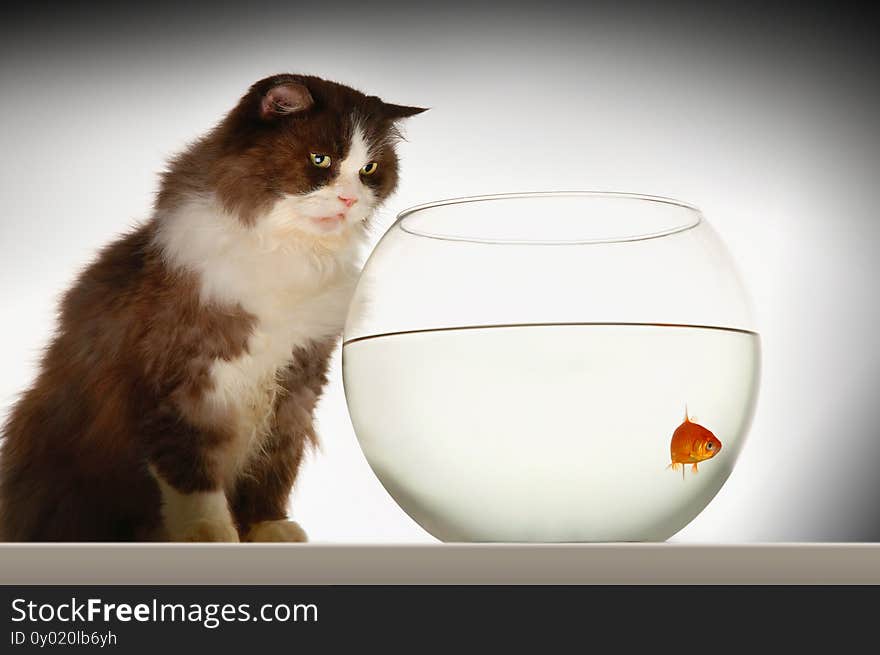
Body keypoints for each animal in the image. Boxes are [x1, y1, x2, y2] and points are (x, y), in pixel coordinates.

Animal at [0, 73, 426, 544]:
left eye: (369, 170)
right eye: (320, 159)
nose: (349, 199)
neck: (287, 256)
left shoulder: (297, 382)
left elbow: (275, 464)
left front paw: (267, 526)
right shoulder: (183, 383)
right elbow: (193, 475)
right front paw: (212, 534)